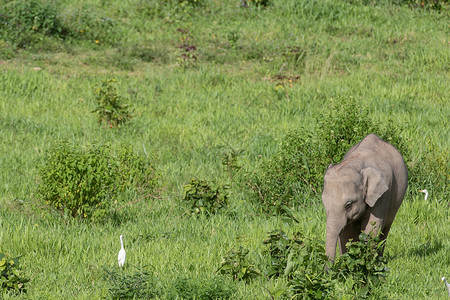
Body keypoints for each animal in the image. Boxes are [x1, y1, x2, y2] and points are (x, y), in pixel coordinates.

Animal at [324, 134, 408, 262]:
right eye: (324, 205)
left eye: (348, 205)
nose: (327, 269)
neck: (355, 164)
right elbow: (347, 231)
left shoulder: (383, 194)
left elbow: (372, 226)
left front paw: (365, 261)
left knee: (385, 229)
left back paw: (379, 259)